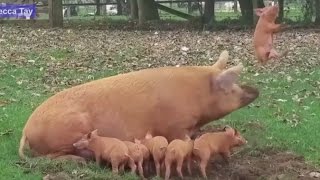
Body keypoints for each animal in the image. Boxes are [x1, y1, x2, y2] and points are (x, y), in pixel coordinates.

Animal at [18, 49, 260, 163]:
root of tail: (26, 129)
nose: (256, 90)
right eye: (230, 88)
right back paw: (80, 161)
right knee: (51, 156)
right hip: (68, 132)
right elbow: (183, 141)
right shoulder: (175, 125)